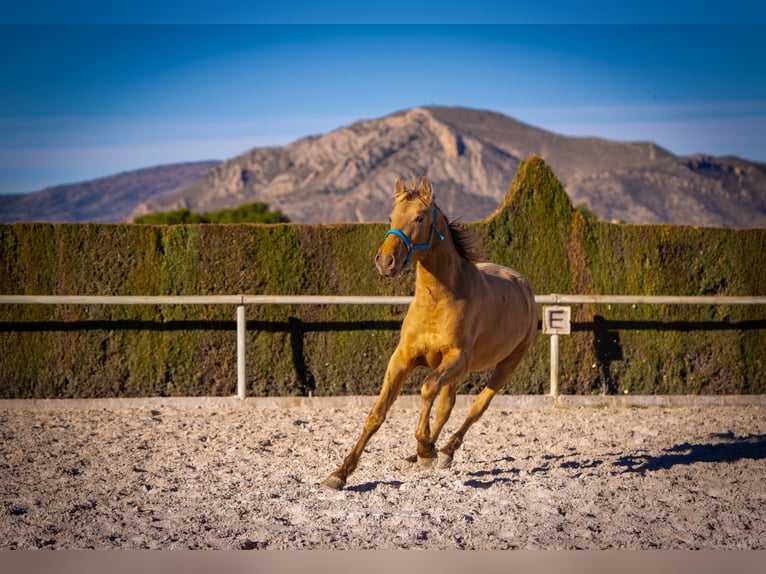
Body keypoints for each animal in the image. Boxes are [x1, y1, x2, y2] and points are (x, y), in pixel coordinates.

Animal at [320, 176, 536, 490]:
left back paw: (442, 451)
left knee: (477, 407)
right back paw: (427, 453)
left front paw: (424, 450)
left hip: (506, 364)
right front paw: (340, 473)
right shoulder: (402, 359)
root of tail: (522, 283)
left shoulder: (456, 358)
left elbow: (426, 388)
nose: (385, 261)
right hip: (459, 373)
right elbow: (378, 413)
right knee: (447, 406)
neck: (438, 300)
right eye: (391, 217)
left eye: (419, 218)